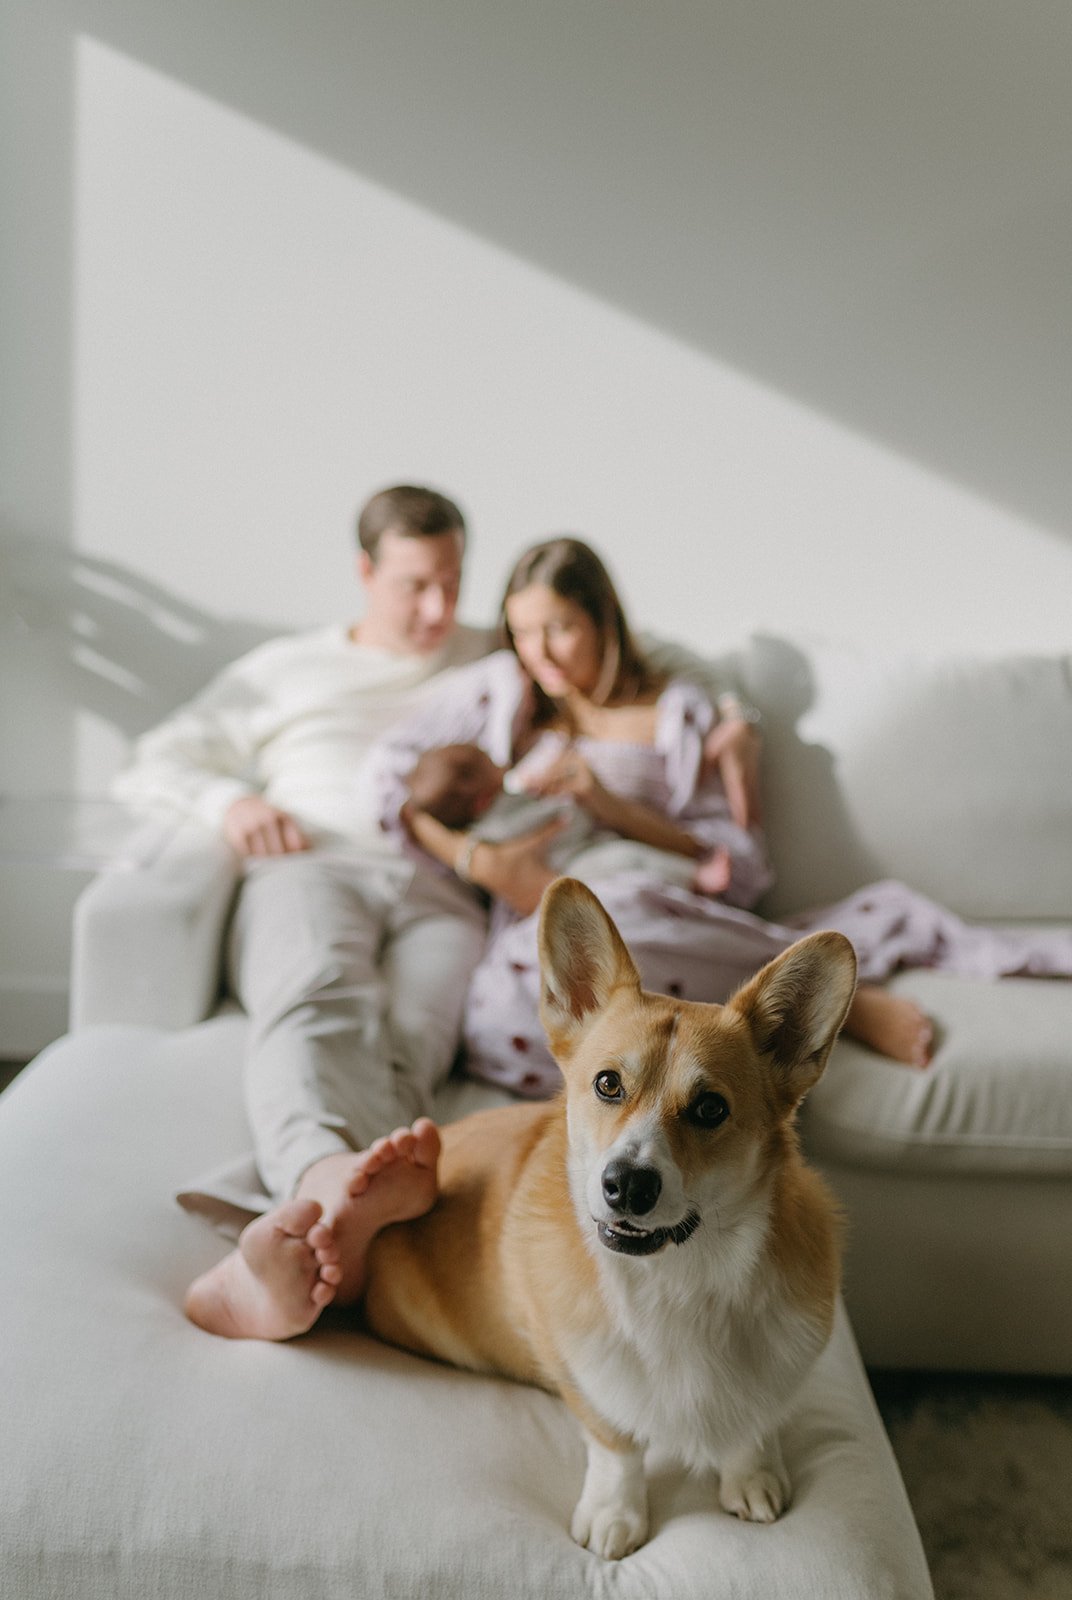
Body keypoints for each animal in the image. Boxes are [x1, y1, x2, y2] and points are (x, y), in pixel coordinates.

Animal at [361, 883, 857, 1555]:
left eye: (710, 1108)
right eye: (607, 1084)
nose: (626, 1185)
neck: (680, 1279)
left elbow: (752, 1421)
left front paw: (750, 1474)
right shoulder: (588, 1379)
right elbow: (616, 1444)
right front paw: (614, 1513)